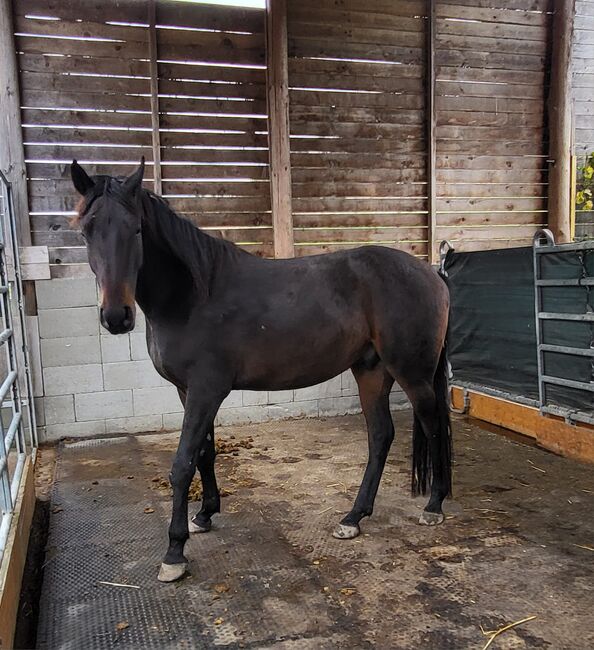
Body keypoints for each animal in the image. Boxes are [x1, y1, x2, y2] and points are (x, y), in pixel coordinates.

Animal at [69, 158, 448, 584]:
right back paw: (353, 517)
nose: (116, 316)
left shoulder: (205, 391)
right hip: (370, 370)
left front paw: (175, 552)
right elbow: (205, 452)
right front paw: (205, 515)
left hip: (413, 374)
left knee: (433, 426)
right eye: (86, 231)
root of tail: (431, 273)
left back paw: (433, 506)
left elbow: (182, 463)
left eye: (135, 229)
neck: (192, 295)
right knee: (381, 436)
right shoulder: (189, 391)